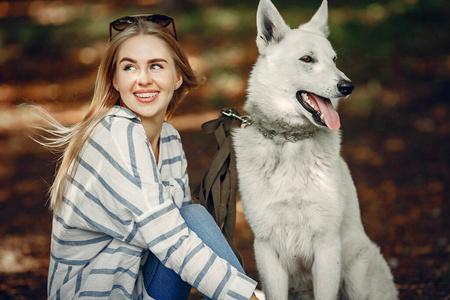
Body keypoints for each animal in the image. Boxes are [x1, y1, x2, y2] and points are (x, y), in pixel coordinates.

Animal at [234, 0, 400, 300]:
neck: (290, 140)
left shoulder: (327, 246)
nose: (348, 86)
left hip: (357, 270)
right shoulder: (266, 248)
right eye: (307, 59)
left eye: (334, 59)